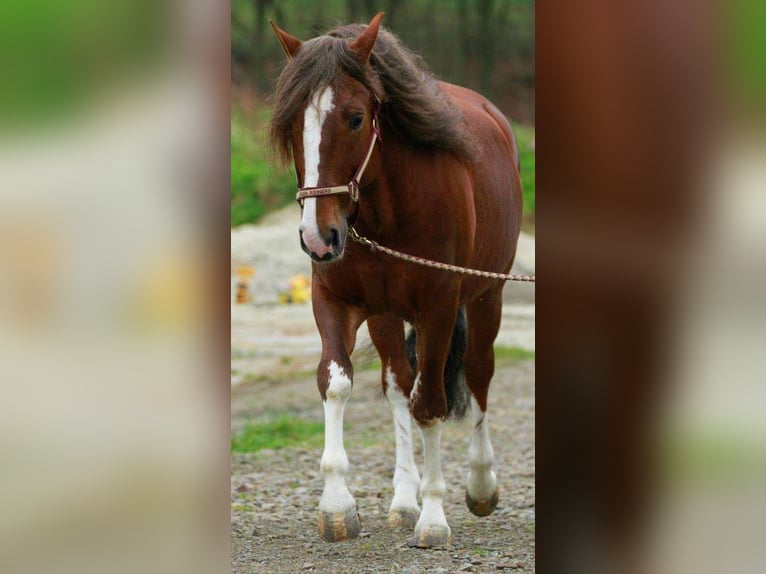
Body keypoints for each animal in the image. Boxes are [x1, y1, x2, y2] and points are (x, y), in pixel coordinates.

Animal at [268, 11, 524, 548]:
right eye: (292, 124)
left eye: (355, 118)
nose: (318, 237)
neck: (387, 209)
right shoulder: (334, 300)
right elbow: (336, 383)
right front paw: (338, 505)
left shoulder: (439, 307)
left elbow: (431, 404)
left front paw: (434, 517)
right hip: (385, 315)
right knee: (398, 384)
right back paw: (404, 499)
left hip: (487, 297)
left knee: (478, 373)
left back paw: (479, 484)